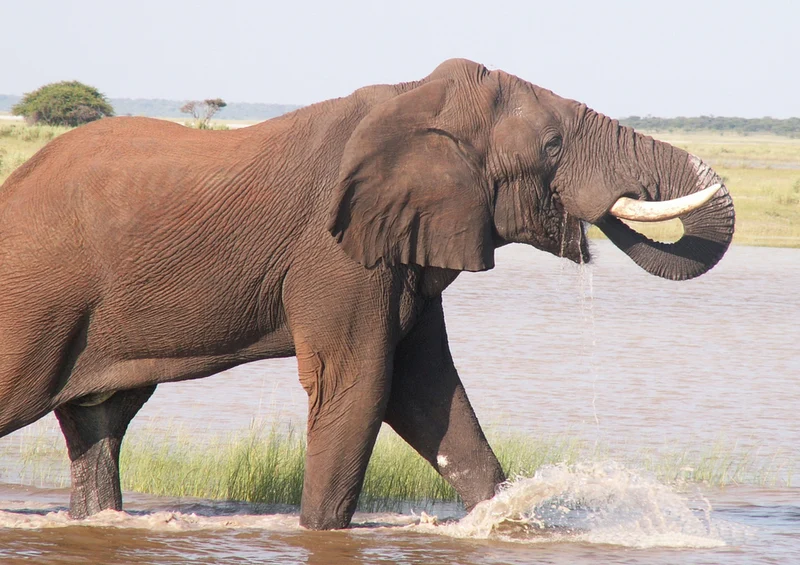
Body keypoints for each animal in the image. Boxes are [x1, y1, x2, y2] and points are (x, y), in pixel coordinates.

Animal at [0, 59, 734, 529]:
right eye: (553, 145)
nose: (602, 216)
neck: (413, 99)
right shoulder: (336, 251)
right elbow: (361, 382)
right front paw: (320, 534)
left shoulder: (400, 246)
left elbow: (426, 392)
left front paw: (505, 520)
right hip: (33, 296)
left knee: (99, 422)